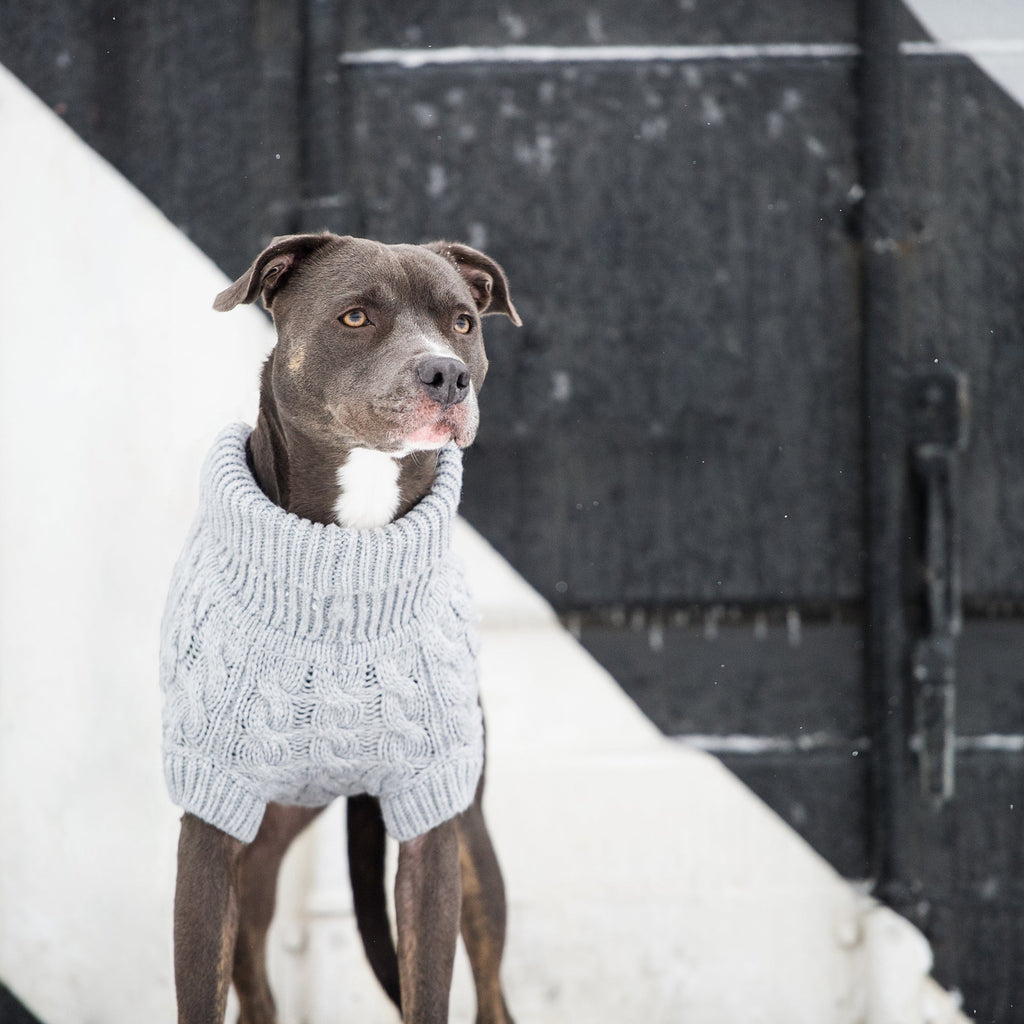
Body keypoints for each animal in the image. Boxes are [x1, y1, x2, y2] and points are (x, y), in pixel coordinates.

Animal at [166, 234, 524, 1024]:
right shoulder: (211, 820)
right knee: (255, 977)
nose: (447, 373)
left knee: (490, 989)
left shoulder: (432, 822)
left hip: (475, 847)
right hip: (259, 845)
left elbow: (429, 989)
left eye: (463, 322)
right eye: (355, 316)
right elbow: (201, 992)